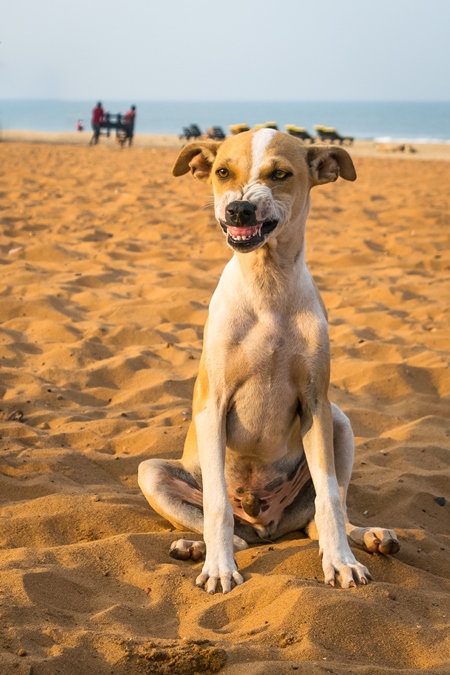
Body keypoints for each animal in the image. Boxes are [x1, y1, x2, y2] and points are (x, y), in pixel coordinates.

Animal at [138, 129, 400, 596]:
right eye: (223, 172)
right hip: (151, 472)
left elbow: (329, 498)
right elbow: (218, 506)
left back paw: (366, 536)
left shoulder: (315, 402)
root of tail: (267, 527)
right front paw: (219, 570)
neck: (267, 287)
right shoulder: (212, 404)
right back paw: (197, 548)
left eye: (280, 174)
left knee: (323, 513)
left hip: (339, 422)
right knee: (227, 527)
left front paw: (341, 563)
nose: (238, 208)